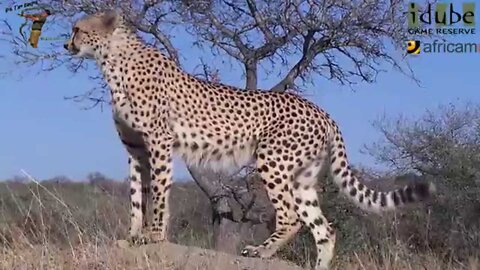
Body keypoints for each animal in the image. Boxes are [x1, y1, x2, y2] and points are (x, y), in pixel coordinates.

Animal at [63, 10, 436, 268]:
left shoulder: (159, 143)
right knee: (323, 228)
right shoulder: (135, 149)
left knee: (291, 217)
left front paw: (154, 235)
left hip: (273, 161)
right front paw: (133, 235)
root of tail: (322, 112)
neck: (113, 61)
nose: (67, 44)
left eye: (78, 29)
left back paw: (261, 251)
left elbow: (157, 194)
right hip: (302, 176)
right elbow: (136, 197)